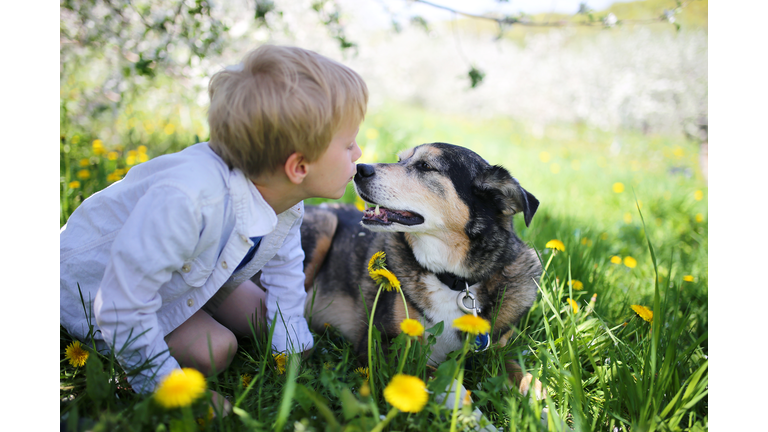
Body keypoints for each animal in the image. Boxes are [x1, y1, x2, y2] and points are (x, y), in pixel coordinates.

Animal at [298, 142, 540, 394]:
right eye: (399, 160)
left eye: (425, 166)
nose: (358, 169)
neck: (453, 281)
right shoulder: (381, 344)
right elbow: (436, 379)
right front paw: (464, 404)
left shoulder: (496, 349)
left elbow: (522, 373)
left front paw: (537, 399)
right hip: (324, 224)